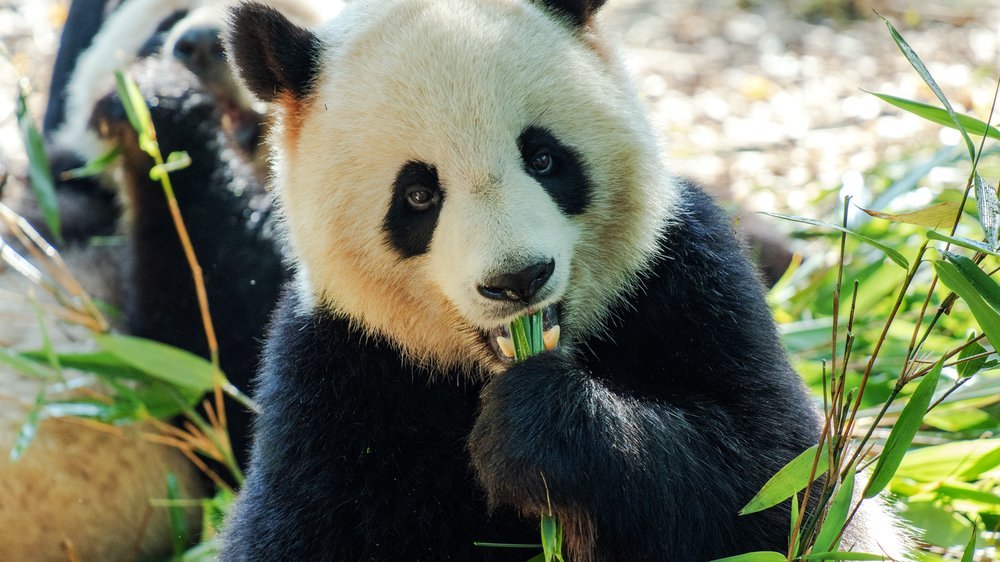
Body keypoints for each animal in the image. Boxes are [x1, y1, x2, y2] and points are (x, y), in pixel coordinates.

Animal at [221, 1, 916, 560]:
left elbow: (782, 489)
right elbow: (293, 532)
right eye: (417, 195)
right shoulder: (338, 373)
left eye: (544, 158)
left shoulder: (690, 280)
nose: (518, 280)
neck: (482, 374)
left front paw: (535, 431)